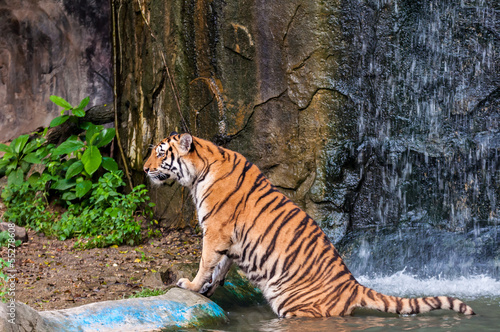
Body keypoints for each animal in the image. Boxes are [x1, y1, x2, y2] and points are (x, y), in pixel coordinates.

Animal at [143, 132, 474, 316]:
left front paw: (190, 285)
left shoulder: (215, 231)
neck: (198, 173)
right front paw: (208, 290)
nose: (144, 169)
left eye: (160, 153)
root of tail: (354, 286)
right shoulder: (227, 240)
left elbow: (205, 263)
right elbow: (221, 266)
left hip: (295, 306)